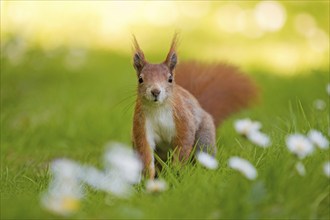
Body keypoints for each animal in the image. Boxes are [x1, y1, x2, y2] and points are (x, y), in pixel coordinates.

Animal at [131, 34, 258, 179]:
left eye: (170, 79)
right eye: (140, 79)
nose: (155, 92)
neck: (159, 108)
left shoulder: (183, 120)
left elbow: (184, 144)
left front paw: (176, 173)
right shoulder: (141, 125)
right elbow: (145, 152)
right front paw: (148, 179)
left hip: (204, 138)